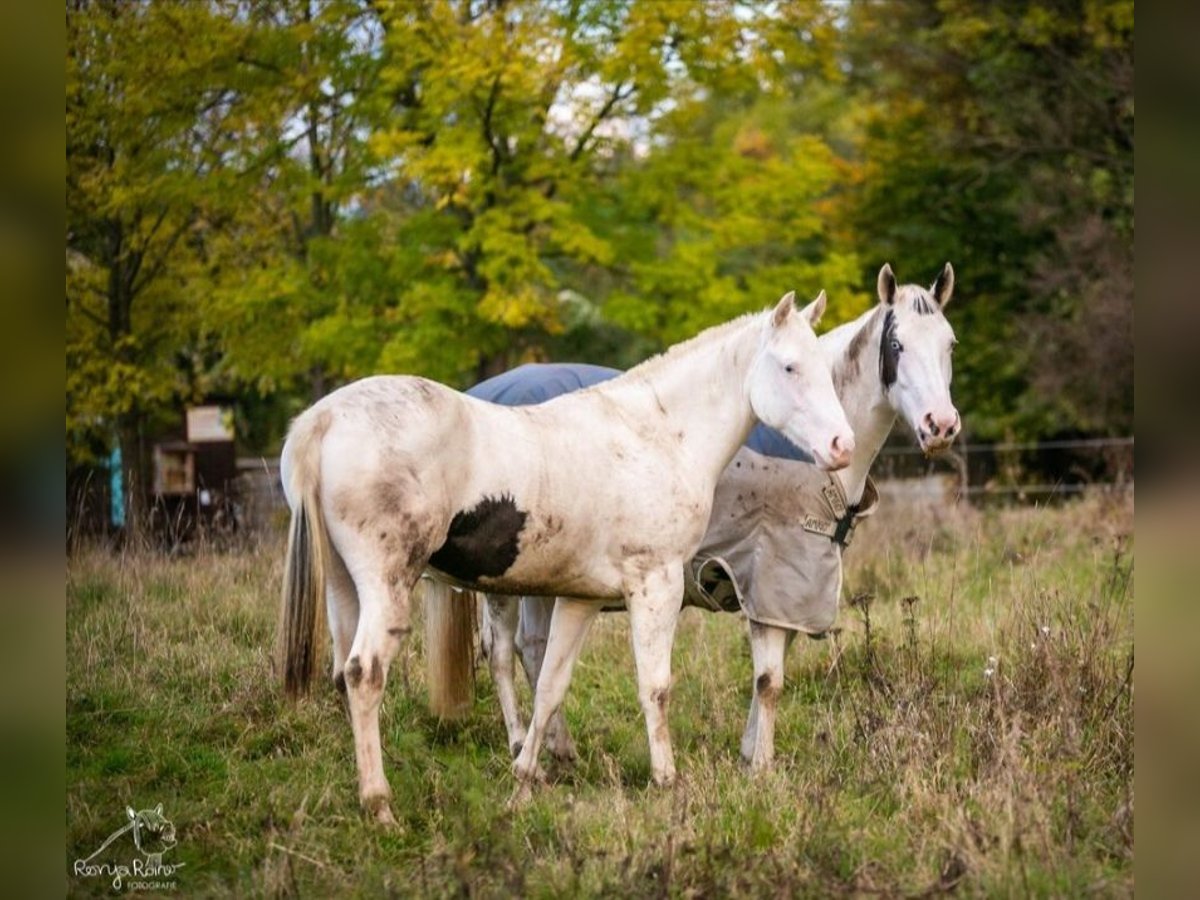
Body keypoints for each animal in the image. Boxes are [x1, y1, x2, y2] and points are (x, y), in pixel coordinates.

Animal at [278, 290, 854, 825]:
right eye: (789, 367)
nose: (841, 446)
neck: (656, 435)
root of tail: (324, 420)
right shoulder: (656, 585)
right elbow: (655, 687)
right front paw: (667, 780)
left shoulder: (580, 600)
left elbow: (551, 687)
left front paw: (524, 781)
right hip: (388, 587)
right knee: (365, 674)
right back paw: (380, 806)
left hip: (345, 589)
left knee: (344, 675)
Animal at [436, 264, 960, 772]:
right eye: (897, 345)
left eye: (949, 344)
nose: (941, 425)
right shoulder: (766, 579)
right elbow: (769, 680)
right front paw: (760, 770)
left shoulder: (789, 593)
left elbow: (771, 676)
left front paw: (750, 754)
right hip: (507, 579)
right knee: (505, 654)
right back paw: (524, 748)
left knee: (535, 648)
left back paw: (557, 751)